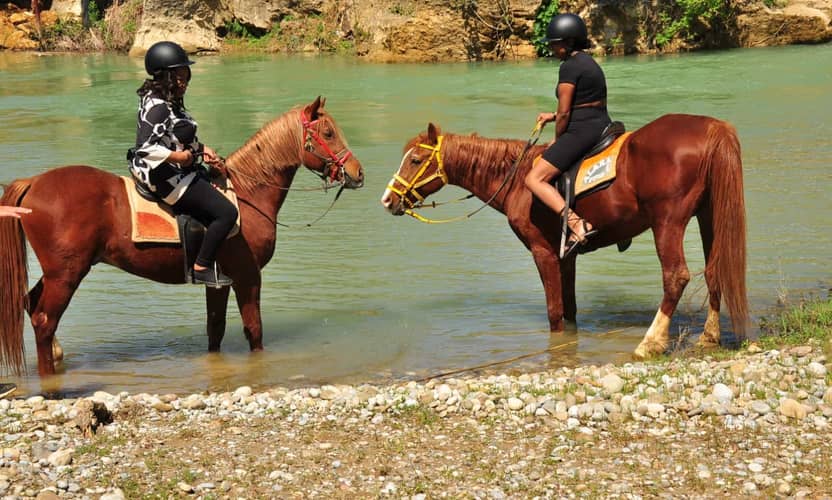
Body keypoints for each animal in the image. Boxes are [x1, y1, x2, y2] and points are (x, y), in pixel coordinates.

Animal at [0, 96, 364, 376]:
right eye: (328, 132)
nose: (357, 173)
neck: (247, 193)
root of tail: (33, 182)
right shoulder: (248, 276)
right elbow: (254, 331)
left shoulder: (220, 281)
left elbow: (215, 330)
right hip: (67, 273)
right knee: (44, 319)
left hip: (59, 272)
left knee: (31, 304)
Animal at [381, 116, 748, 358]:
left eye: (415, 160)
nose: (387, 199)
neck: (518, 178)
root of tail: (713, 128)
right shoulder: (565, 256)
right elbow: (569, 308)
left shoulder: (542, 252)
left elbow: (554, 311)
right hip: (709, 215)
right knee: (714, 270)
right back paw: (709, 337)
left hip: (667, 222)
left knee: (676, 277)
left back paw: (650, 343)